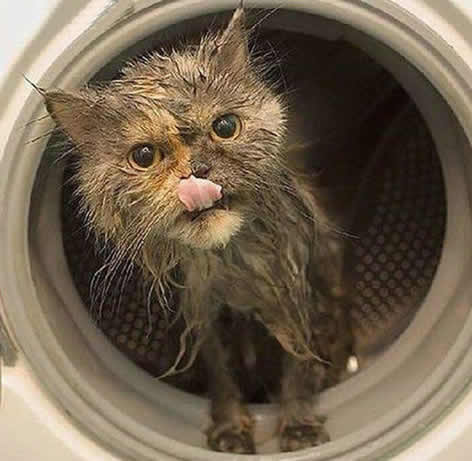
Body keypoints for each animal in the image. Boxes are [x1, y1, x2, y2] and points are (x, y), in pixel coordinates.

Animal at [44, 8, 354, 454]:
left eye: (225, 127)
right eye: (144, 156)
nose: (197, 171)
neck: (230, 260)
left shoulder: (299, 292)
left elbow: (298, 363)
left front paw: (298, 427)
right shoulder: (201, 315)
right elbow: (221, 376)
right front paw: (230, 430)